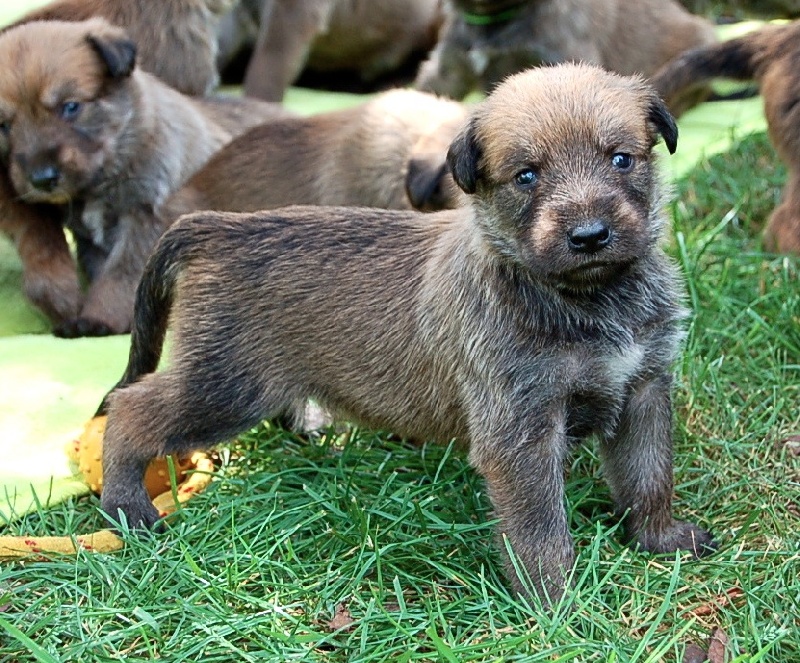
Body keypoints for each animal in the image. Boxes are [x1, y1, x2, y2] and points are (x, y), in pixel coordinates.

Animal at [0, 20, 288, 338]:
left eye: (71, 107)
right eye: (3, 125)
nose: (41, 179)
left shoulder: (147, 219)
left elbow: (121, 278)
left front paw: (98, 320)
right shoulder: (94, 242)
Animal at [97, 65, 716, 604]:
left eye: (621, 159)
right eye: (527, 176)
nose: (590, 236)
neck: (585, 300)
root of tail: (217, 229)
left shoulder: (643, 391)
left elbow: (649, 476)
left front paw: (661, 540)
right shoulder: (521, 431)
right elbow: (540, 528)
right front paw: (555, 604)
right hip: (224, 387)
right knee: (130, 410)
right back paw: (127, 508)